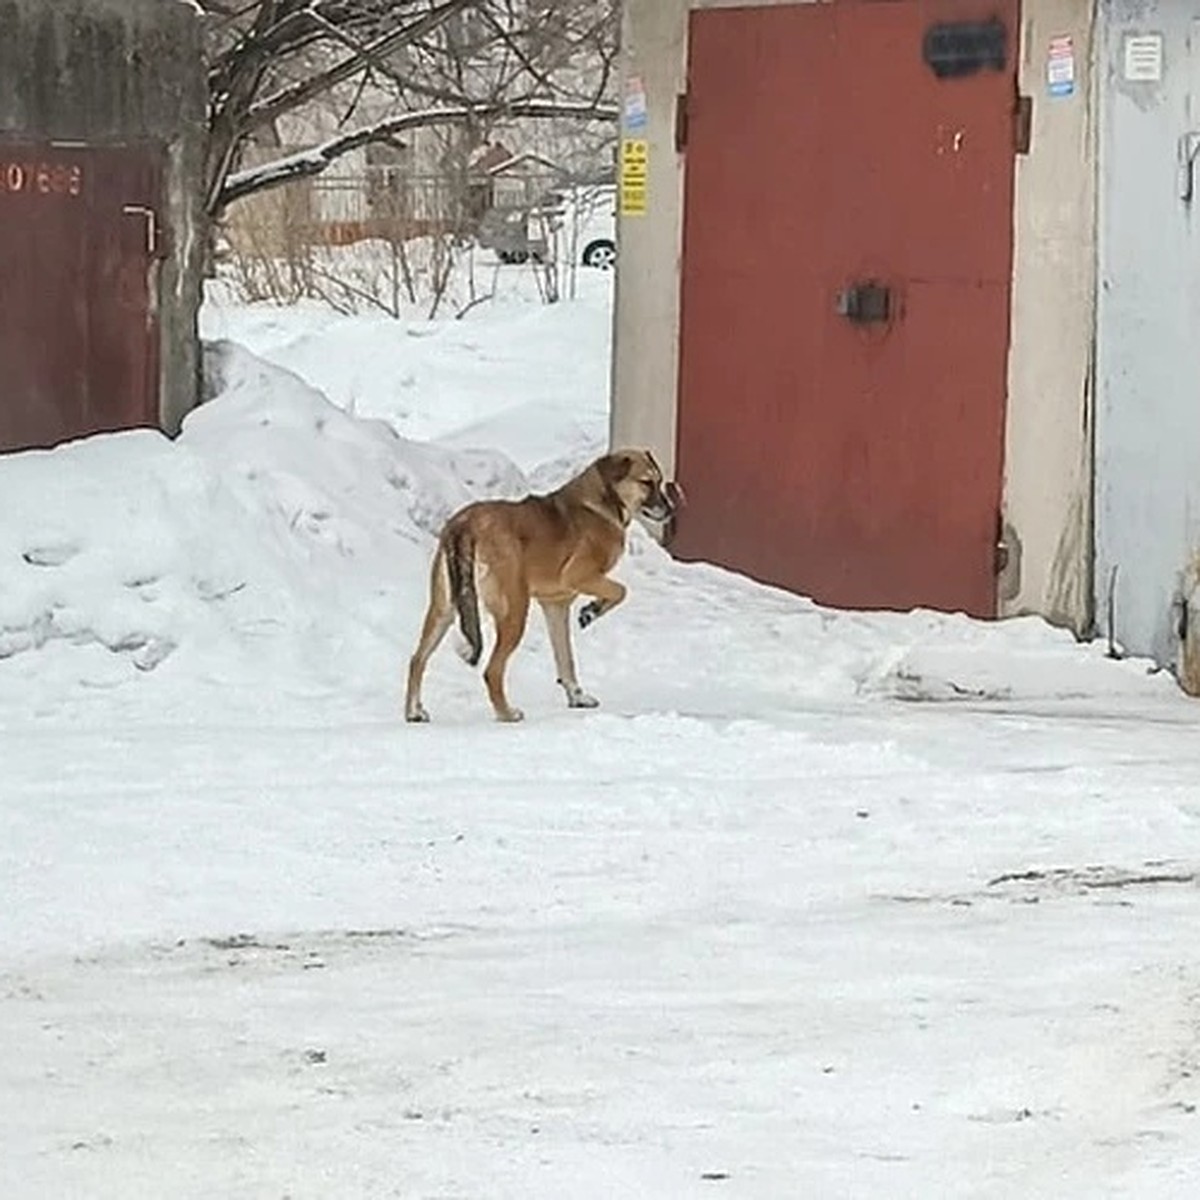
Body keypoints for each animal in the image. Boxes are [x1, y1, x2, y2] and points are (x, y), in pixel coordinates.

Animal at [408, 448, 681, 720]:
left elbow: (565, 657)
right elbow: (621, 591)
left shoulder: (556, 605)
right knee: (492, 670)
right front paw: (591, 611)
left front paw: (576, 696)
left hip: (443, 609)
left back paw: (414, 711)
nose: (671, 510)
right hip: (515, 610)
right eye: (646, 482)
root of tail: (465, 523)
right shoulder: (579, 575)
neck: (603, 502)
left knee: (417, 658)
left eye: (660, 480)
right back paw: (506, 712)